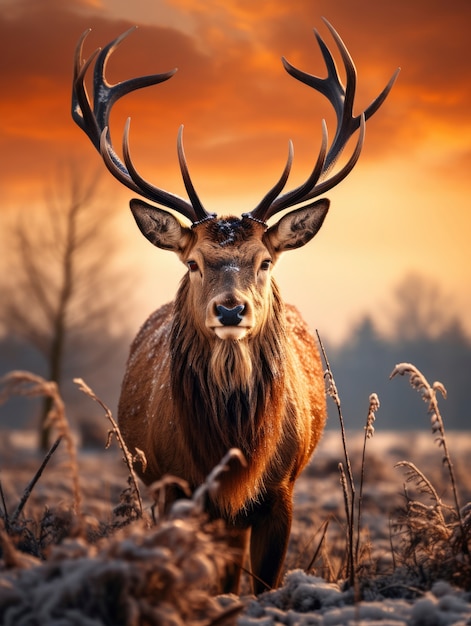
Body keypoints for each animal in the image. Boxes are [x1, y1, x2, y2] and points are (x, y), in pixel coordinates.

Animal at [73, 19, 398, 592]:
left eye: (265, 260)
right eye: (194, 262)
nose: (230, 310)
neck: (230, 452)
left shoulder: (282, 489)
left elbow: (264, 582)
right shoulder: (176, 486)